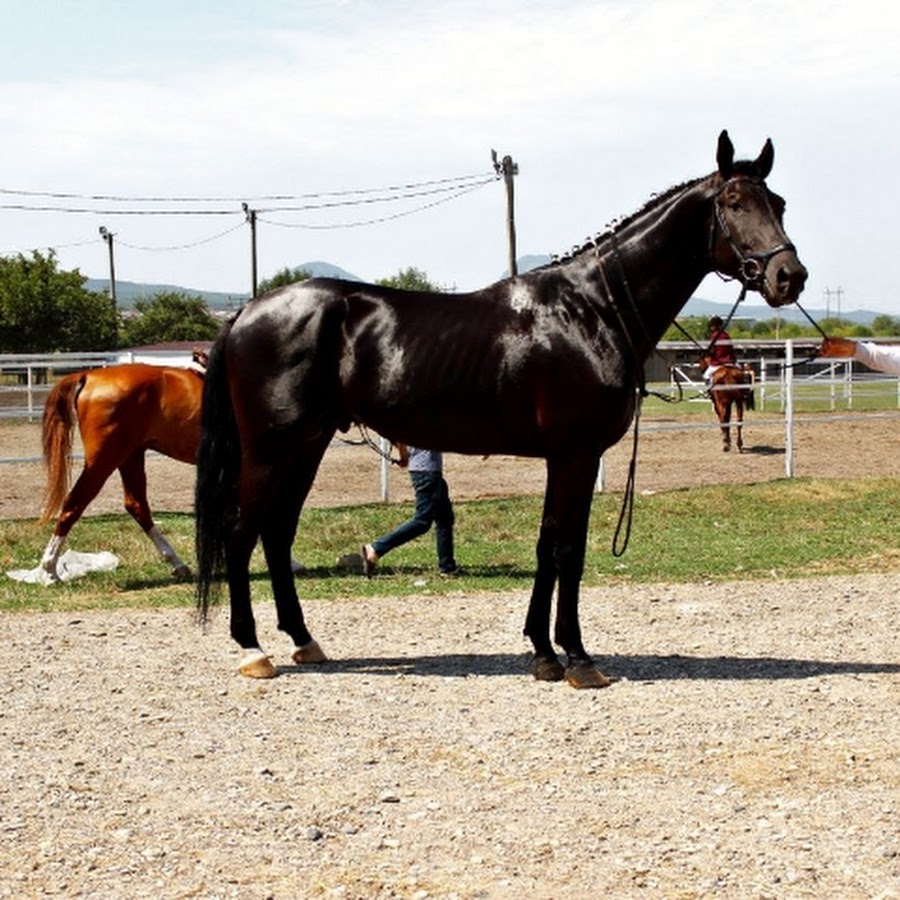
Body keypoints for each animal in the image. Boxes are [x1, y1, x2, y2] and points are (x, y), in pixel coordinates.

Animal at [193, 130, 804, 684]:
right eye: (734, 203)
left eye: (778, 203)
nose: (789, 276)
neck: (592, 309)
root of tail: (246, 313)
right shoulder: (576, 455)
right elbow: (569, 550)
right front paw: (578, 658)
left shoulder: (564, 458)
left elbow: (547, 545)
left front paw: (543, 653)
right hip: (270, 450)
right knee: (242, 535)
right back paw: (254, 651)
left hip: (307, 446)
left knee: (276, 535)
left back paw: (304, 641)